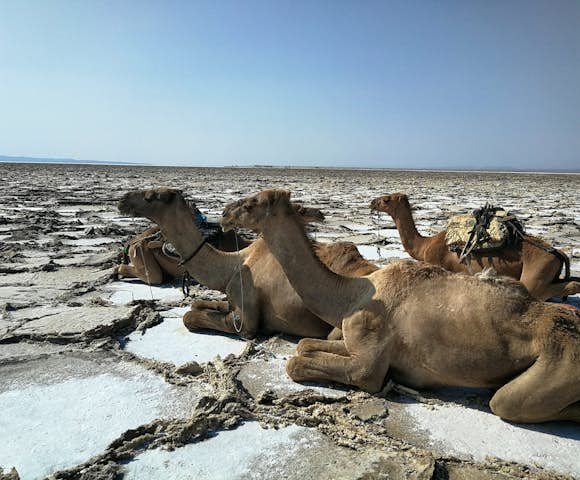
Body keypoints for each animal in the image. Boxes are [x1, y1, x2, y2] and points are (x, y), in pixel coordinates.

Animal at [120, 186, 378, 340]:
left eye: (152, 196)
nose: (122, 200)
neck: (232, 265)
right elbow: (197, 304)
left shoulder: (246, 322)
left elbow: (190, 318)